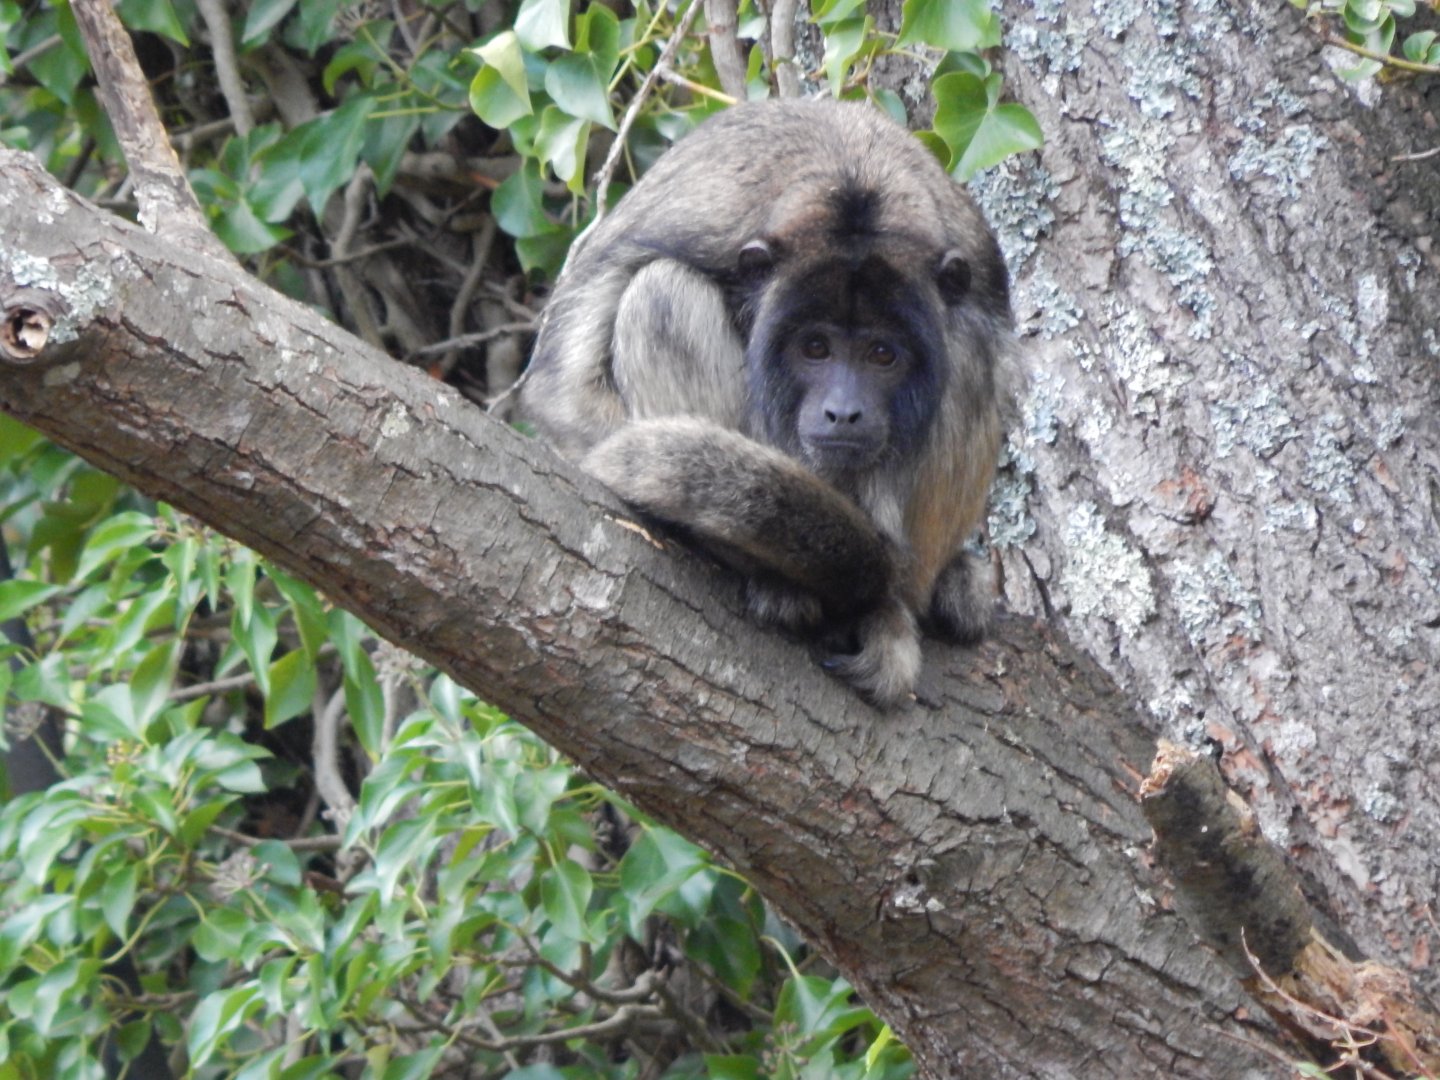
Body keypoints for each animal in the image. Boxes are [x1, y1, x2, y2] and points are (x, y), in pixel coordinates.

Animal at [518, 97, 1016, 707]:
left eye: (882, 354)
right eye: (815, 348)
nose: (843, 411)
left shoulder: (976, 260)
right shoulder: (695, 220)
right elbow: (562, 391)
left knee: (968, 349)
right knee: (661, 292)